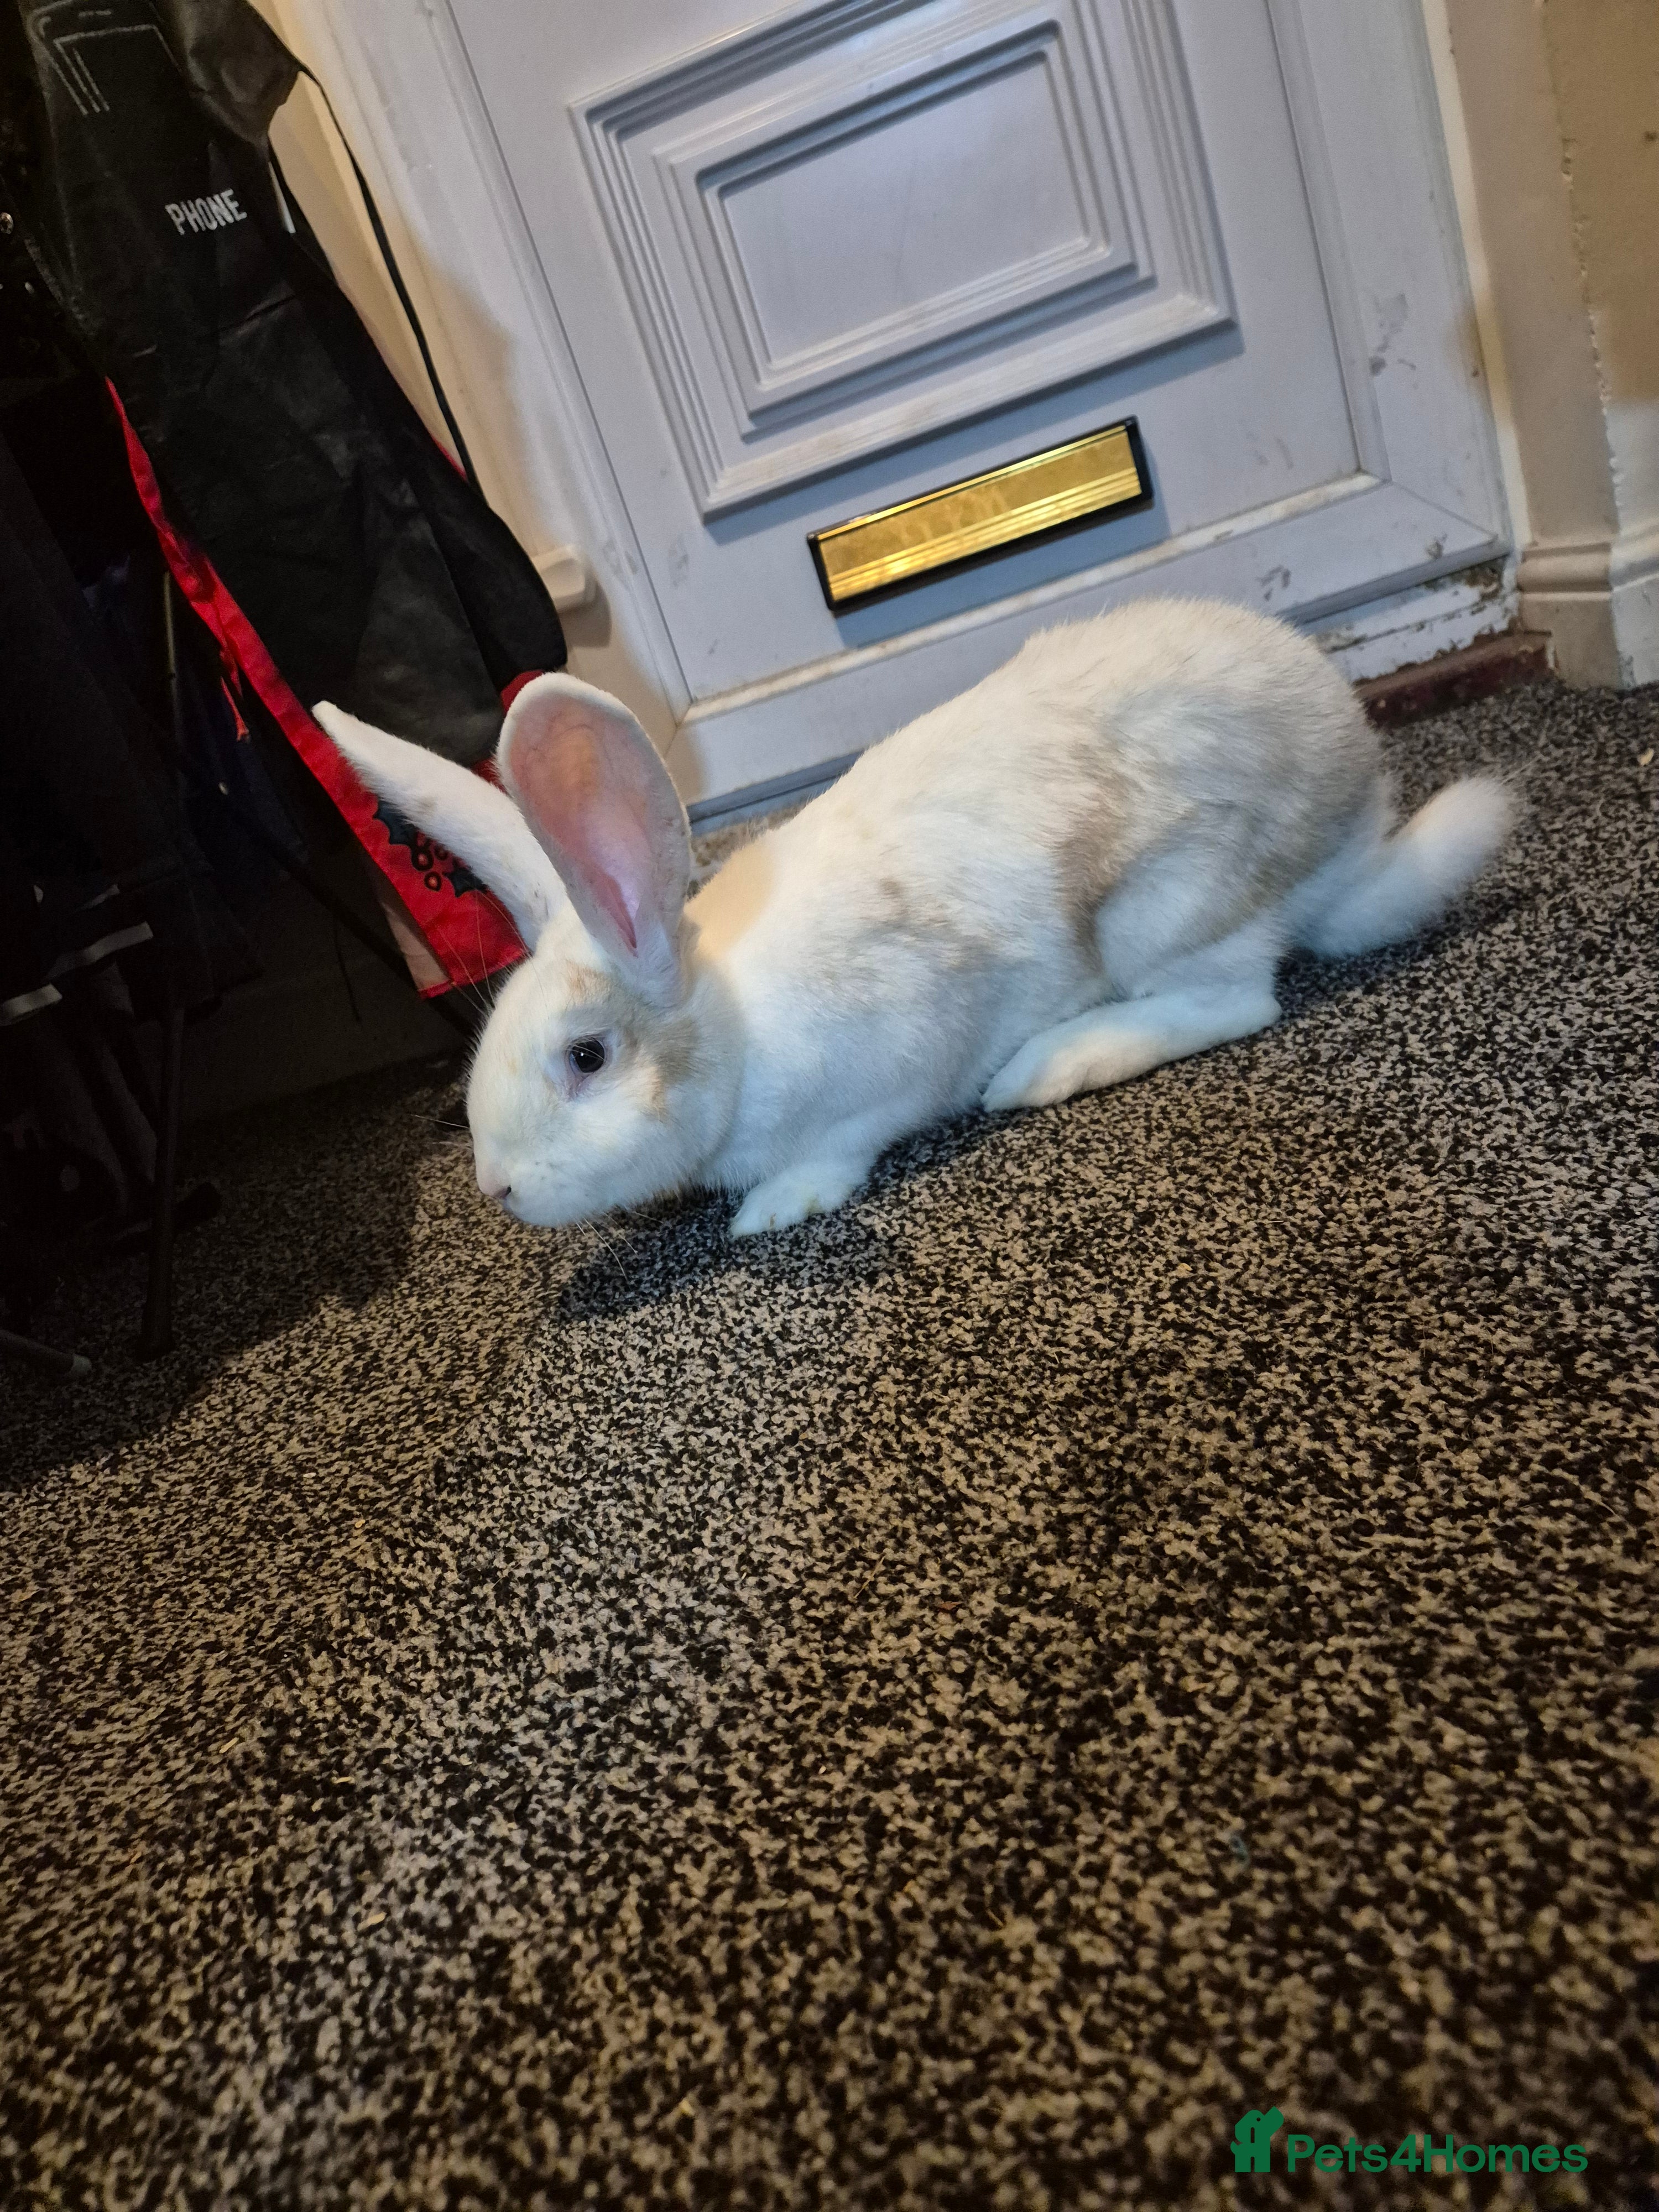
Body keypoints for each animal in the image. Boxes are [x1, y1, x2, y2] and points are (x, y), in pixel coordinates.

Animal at [313, 595, 1514, 1237]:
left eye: (588, 1057)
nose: (498, 1186)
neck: (738, 1025)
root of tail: (1359, 819)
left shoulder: (895, 1060)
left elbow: (848, 1141)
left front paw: (776, 1206)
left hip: (1168, 906)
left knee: (1236, 1000)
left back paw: (1048, 1066)